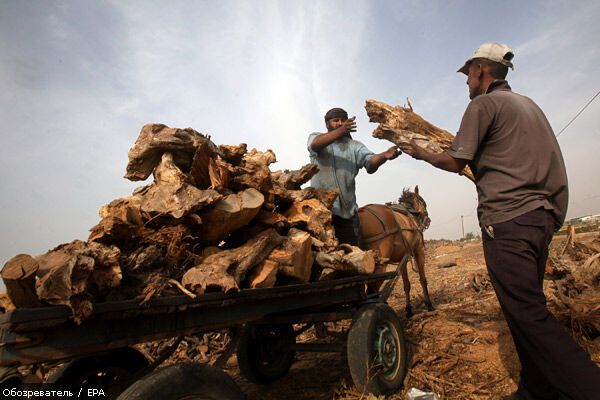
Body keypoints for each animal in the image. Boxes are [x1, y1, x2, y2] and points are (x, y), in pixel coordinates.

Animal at [358, 185, 434, 318]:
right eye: (424, 203)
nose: (428, 219)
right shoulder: (419, 251)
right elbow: (423, 279)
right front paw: (429, 305)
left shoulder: (402, 258)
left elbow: (406, 284)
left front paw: (408, 310)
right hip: (379, 266)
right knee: (371, 292)